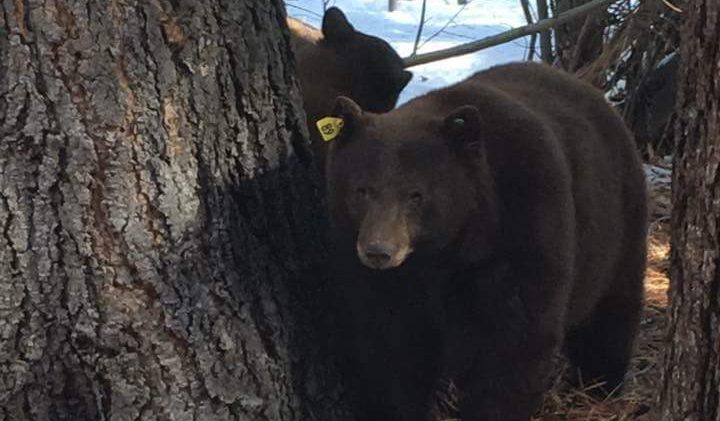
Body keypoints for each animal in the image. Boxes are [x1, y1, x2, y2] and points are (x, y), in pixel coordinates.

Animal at [323, 61, 647, 421]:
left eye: (416, 194)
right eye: (362, 190)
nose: (378, 251)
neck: (444, 253)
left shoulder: (523, 229)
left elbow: (514, 343)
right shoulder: (378, 276)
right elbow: (391, 344)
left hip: (619, 223)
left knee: (612, 308)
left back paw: (600, 382)